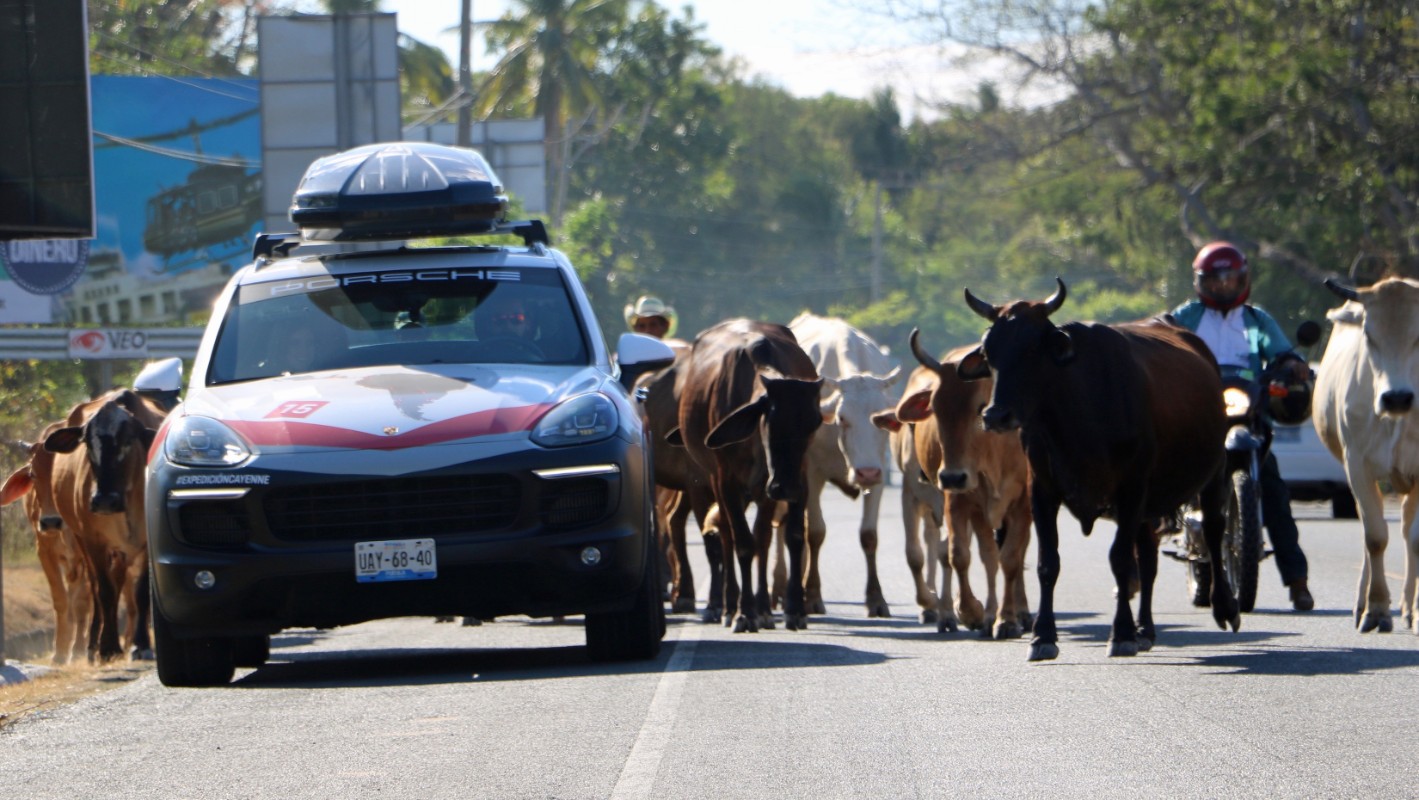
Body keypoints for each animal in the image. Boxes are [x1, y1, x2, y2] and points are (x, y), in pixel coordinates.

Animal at [1, 422, 92, 666]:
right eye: (33, 474)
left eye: (65, 476)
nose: (50, 521)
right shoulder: (44, 551)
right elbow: (61, 600)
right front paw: (60, 652)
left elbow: (81, 602)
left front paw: (78, 649)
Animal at [783, 313, 902, 618]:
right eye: (841, 418)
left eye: (883, 419)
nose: (865, 472)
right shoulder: (811, 475)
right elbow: (815, 533)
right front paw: (812, 596)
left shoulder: (879, 472)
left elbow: (869, 535)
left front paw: (876, 599)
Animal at [959, 278, 1237, 658]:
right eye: (989, 353)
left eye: (1033, 349)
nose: (996, 415)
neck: (1076, 417)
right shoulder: (1042, 490)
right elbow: (1048, 562)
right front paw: (1043, 636)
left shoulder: (1131, 488)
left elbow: (1119, 559)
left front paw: (1120, 634)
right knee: (1148, 559)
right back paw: (1145, 629)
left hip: (1212, 471)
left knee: (1212, 529)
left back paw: (1223, 608)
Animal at [1311, 278, 1419, 635]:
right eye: (1369, 335)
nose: (1397, 397)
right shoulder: (1356, 465)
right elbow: (1374, 537)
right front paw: (1377, 609)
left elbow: (1415, 538)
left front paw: (1413, 610)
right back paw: (1363, 604)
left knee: (1405, 530)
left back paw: (1409, 608)